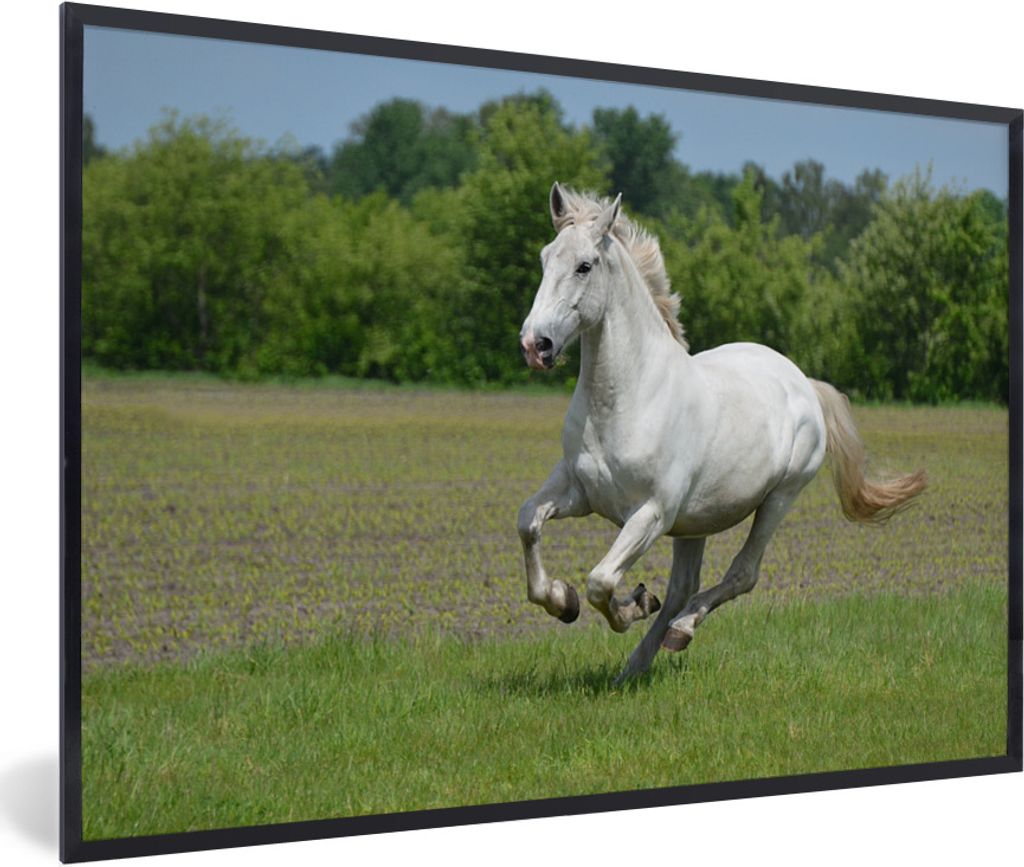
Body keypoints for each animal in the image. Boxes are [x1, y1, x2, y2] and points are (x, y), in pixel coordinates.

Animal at [517, 182, 926, 685]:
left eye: (584, 266)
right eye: (544, 258)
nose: (535, 345)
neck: (627, 400)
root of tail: (802, 382)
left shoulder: (651, 513)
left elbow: (601, 581)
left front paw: (629, 605)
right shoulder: (578, 491)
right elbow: (528, 522)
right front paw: (563, 601)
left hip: (778, 499)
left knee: (740, 575)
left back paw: (680, 630)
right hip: (696, 521)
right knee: (682, 586)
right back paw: (635, 666)